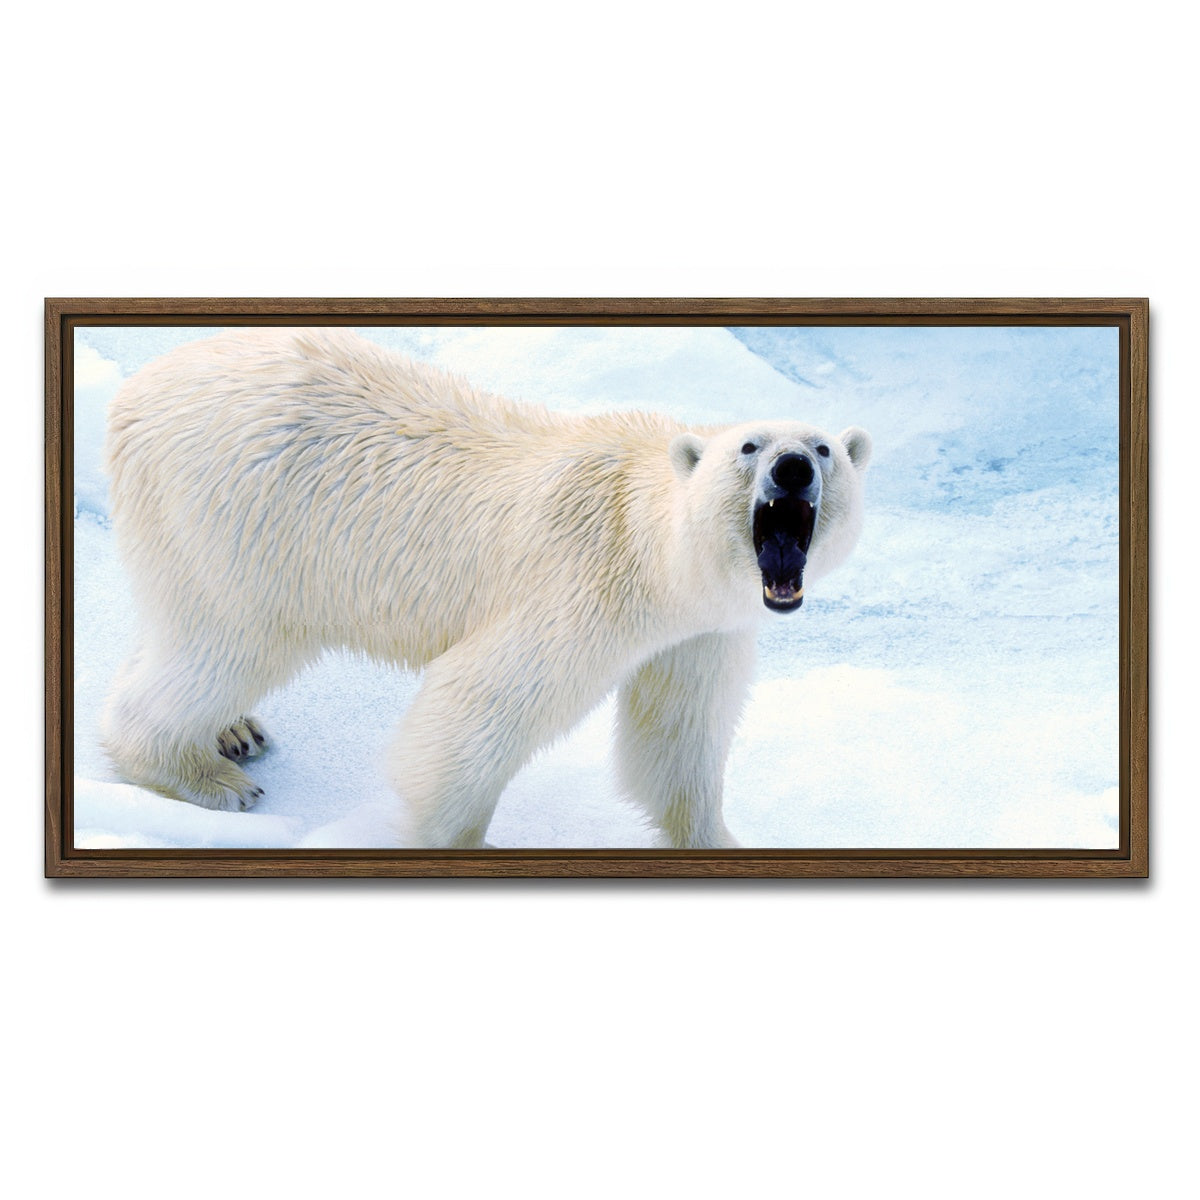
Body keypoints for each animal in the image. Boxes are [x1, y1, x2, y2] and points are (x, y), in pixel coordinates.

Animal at [100, 328, 871, 848]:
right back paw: (206, 776)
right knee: (226, 641)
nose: (794, 468)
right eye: (750, 446)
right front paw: (463, 839)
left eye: (824, 447)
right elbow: (476, 706)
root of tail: (135, 391)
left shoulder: (701, 631)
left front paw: (716, 837)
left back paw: (235, 729)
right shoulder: (584, 588)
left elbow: (677, 736)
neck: (651, 543)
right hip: (239, 518)